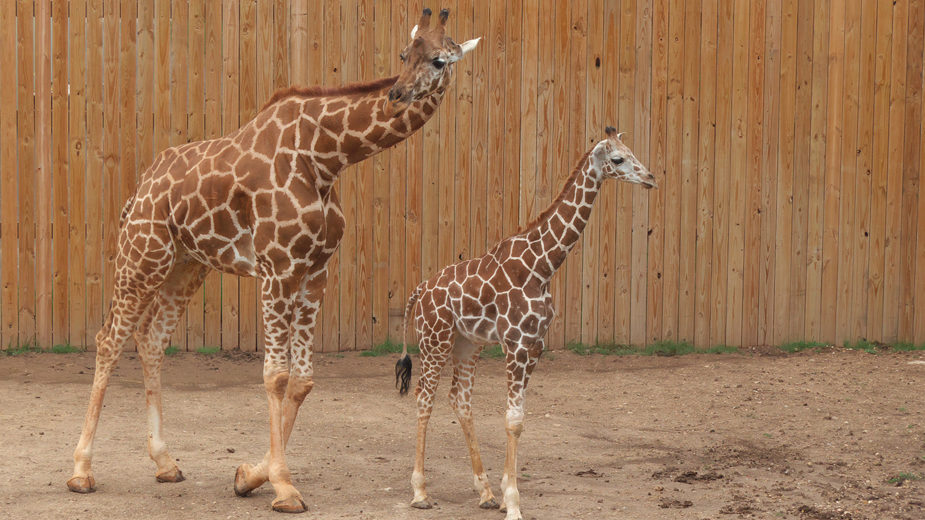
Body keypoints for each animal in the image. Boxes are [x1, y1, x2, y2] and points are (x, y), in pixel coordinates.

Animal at [65, 8, 479, 514]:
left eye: (440, 59)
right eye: (404, 54)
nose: (398, 94)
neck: (325, 158)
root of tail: (139, 189)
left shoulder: (315, 271)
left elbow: (302, 381)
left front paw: (248, 475)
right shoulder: (277, 268)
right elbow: (276, 377)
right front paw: (283, 487)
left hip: (186, 265)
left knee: (151, 340)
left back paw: (165, 463)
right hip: (143, 255)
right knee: (109, 339)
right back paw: (81, 471)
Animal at [394, 127, 657, 520]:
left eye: (632, 151)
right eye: (618, 158)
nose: (651, 178)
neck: (542, 267)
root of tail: (420, 290)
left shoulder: (535, 344)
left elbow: (518, 419)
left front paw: (504, 496)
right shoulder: (516, 345)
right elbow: (512, 419)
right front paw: (515, 504)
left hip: (467, 342)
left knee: (460, 399)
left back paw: (485, 492)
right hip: (434, 338)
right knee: (425, 398)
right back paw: (420, 491)